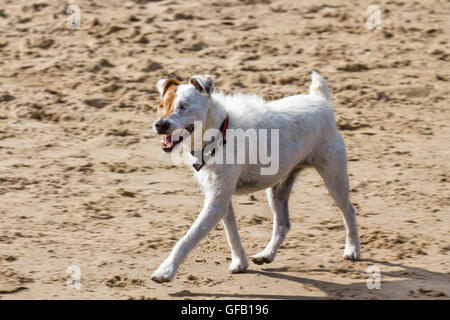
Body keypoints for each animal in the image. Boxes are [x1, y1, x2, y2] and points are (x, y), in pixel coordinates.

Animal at [152, 70, 362, 282]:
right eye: (162, 106)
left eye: (183, 106)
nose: (159, 125)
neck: (218, 133)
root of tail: (321, 100)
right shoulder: (221, 198)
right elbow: (232, 234)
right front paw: (240, 262)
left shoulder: (216, 202)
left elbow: (186, 239)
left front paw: (165, 271)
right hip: (277, 189)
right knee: (283, 224)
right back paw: (266, 255)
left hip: (334, 178)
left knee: (349, 211)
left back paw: (353, 250)